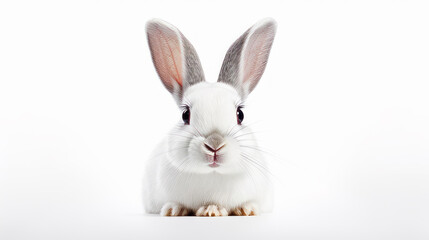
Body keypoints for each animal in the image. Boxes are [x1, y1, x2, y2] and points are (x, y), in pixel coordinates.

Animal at [143, 18, 278, 217]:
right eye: (185, 114)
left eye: (240, 114)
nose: (214, 144)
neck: (212, 175)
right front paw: (176, 209)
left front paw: (239, 210)